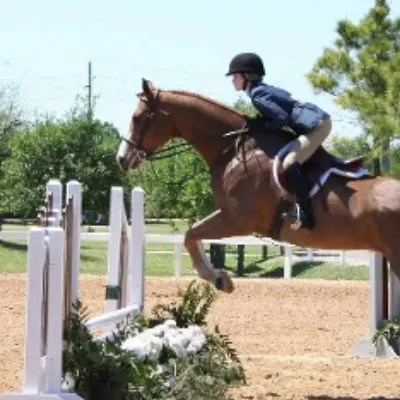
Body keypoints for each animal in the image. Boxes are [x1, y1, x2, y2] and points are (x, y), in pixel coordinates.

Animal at [116, 77, 400, 294]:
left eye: (138, 117)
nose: (121, 159)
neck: (230, 149)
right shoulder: (229, 214)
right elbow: (191, 235)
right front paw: (220, 278)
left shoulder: (238, 220)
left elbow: (191, 235)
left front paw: (220, 279)